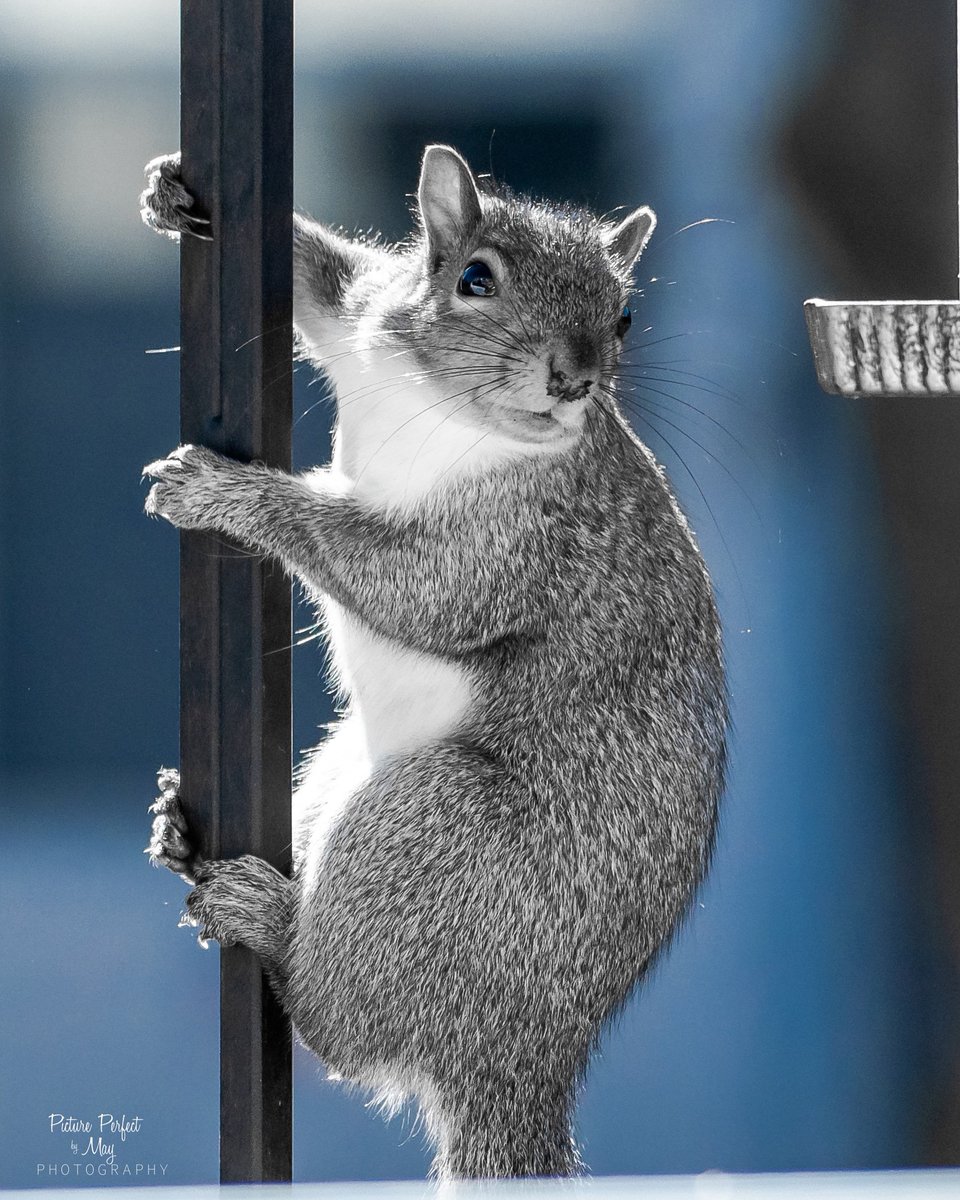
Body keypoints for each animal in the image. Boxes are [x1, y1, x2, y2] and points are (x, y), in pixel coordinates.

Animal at [141, 145, 727, 1180]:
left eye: (624, 316)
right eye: (473, 278)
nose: (575, 379)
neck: (440, 406)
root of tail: (519, 1060)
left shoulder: (522, 547)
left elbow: (411, 584)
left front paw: (227, 494)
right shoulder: (365, 323)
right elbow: (321, 281)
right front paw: (173, 192)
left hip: (438, 824)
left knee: (338, 1033)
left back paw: (266, 923)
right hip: (337, 778)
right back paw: (182, 834)